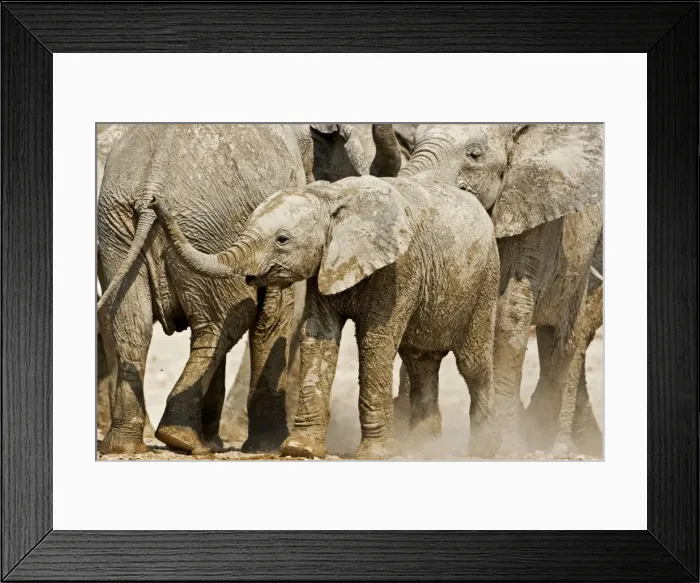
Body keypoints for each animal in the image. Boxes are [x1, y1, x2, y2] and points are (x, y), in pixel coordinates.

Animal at [96, 123, 373, 455]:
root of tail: (152, 178)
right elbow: (274, 313)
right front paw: (267, 446)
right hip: (206, 226)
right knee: (222, 324)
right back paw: (181, 439)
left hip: (119, 228)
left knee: (134, 328)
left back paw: (129, 446)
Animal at [150, 170, 503, 460]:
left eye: (282, 240)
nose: (153, 200)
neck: (332, 197)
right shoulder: (324, 265)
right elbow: (318, 337)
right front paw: (300, 449)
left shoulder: (400, 268)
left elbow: (375, 342)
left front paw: (375, 455)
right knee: (421, 361)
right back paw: (422, 448)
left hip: (486, 278)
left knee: (472, 362)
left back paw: (483, 449)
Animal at [372, 124, 603, 455]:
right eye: (412, 145)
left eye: (474, 155)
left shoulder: (534, 217)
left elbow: (509, 315)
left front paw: (508, 448)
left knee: (564, 340)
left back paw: (546, 439)